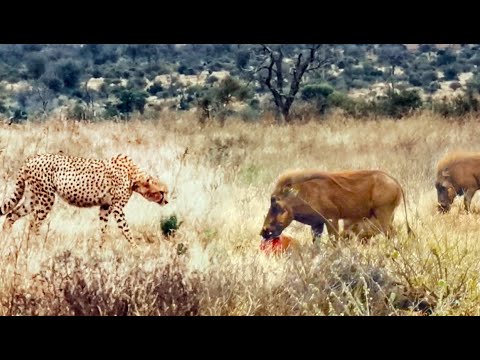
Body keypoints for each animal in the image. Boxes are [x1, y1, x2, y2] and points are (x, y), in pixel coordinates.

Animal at [0, 152, 169, 245]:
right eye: (162, 192)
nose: (167, 201)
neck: (134, 176)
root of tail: (31, 158)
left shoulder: (105, 206)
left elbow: (103, 228)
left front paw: (101, 248)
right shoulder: (117, 208)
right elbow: (126, 230)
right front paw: (135, 248)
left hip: (32, 198)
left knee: (11, 215)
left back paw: (6, 240)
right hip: (46, 198)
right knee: (33, 224)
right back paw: (38, 245)